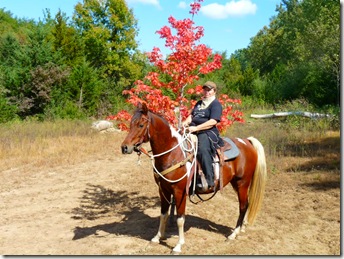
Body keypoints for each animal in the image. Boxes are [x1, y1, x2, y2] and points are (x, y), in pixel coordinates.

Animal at [121, 102, 268, 255]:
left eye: (140, 125)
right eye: (130, 124)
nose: (125, 147)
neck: (173, 153)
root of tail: (247, 141)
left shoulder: (180, 192)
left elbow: (180, 219)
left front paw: (178, 246)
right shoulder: (163, 190)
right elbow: (163, 214)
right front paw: (157, 237)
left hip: (242, 183)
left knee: (243, 206)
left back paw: (233, 234)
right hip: (237, 183)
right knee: (247, 204)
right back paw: (242, 228)